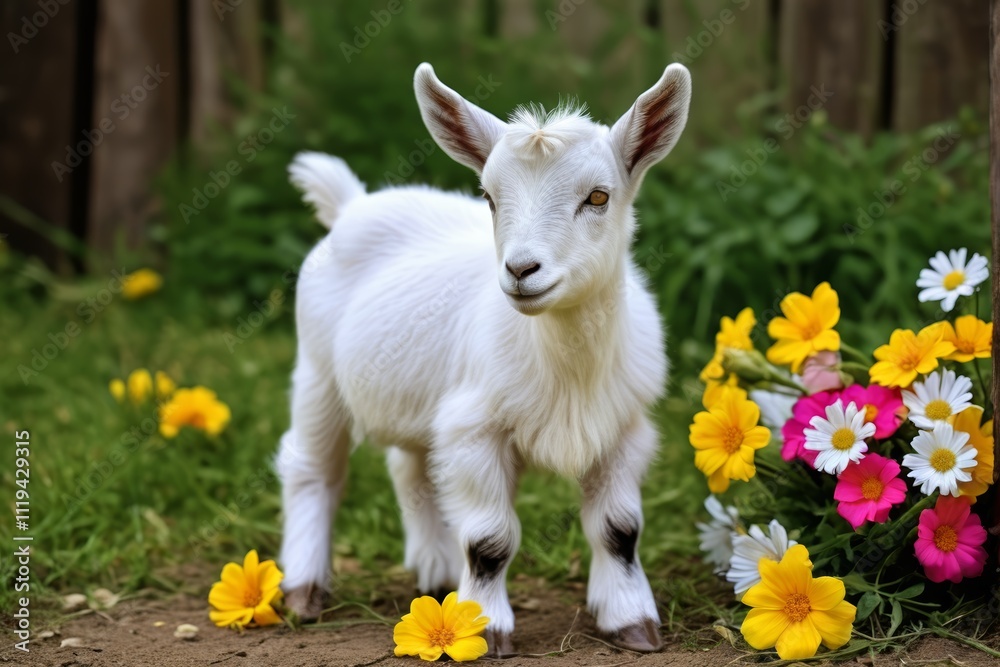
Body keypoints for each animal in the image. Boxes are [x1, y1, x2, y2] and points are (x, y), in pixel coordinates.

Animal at [278, 62, 691, 656]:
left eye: (598, 197)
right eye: (491, 198)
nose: (521, 270)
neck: (566, 363)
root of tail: (354, 202)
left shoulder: (622, 429)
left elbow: (619, 529)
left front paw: (632, 623)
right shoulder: (477, 431)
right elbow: (489, 539)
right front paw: (485, 628)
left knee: (412, 468)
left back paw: (436, 575)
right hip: (317, 372)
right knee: (312, 470)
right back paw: (304, 590)